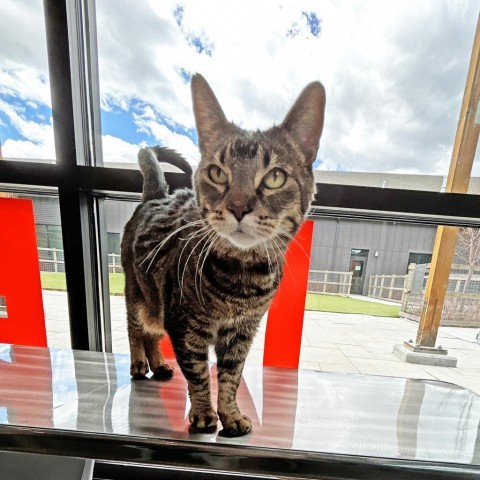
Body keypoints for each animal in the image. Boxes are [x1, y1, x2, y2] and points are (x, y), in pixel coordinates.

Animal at [122, 73, 328, 436]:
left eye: (275, 177)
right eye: (217, 173)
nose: (238, 207)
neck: (242, 277)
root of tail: (155, 195)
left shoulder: (243, 331)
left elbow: (232, 375)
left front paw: (230, 414)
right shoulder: (186, 324)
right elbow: (198, 372)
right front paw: (204, 412)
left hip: (157, 302)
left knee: (152, 335)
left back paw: (158, 364)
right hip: (139, 295)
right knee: (137, 330)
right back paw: (138, 363)